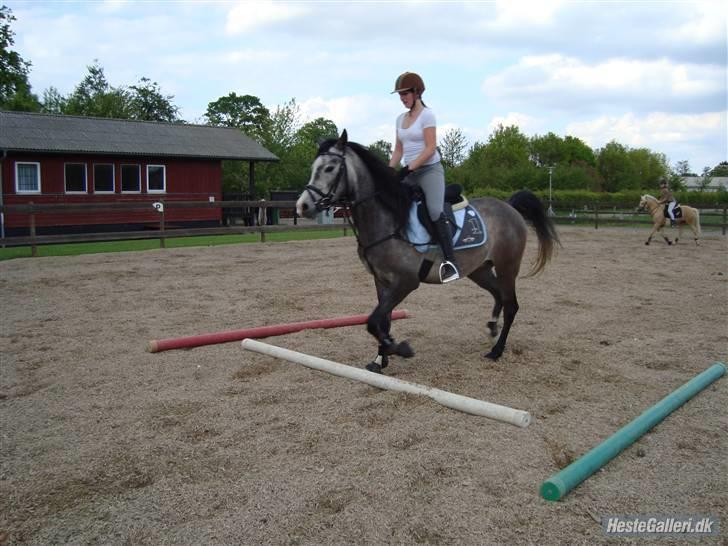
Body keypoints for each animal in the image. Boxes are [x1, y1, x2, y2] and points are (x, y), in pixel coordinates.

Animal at [296, 130, 556, 372]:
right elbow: (382, 320)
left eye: (329, 168)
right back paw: (492, 328)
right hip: (479, 269)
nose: (303, 206)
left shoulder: (406, 281)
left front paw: (399, 348)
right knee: (498, 294)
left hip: (507, 267)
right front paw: (380, 359)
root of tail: (509, 206)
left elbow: (374, 321)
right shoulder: (381, 281)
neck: (389, 220)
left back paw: (497, 350)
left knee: (511, 305)